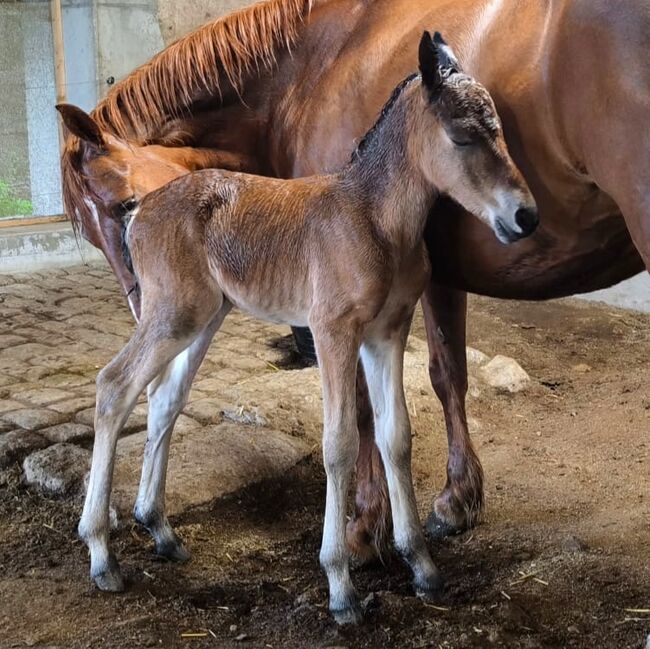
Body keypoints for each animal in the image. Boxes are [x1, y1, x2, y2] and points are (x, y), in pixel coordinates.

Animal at [58, 0, 644, 560]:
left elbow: (379, 409)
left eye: (119, 206)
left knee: (139, 392)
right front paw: (435, 509)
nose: (525, 216)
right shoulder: (409, 292)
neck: (308, 66)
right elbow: (437, 380)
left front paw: (368, 530)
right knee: (146, 393)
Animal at [77, 34, 532, 624]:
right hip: (171, 313)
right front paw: (340, 586)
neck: (375, 218)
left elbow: (396, 436)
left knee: (163, 399)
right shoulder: (332, 331)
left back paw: (161, 531)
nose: (526, 217)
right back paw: (101, 555)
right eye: (461, 135)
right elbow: (340, 442)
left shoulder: (387, 332)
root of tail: (140, 211)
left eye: (499, 128)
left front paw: (422, 567)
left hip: (203, 317)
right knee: (114, 386)